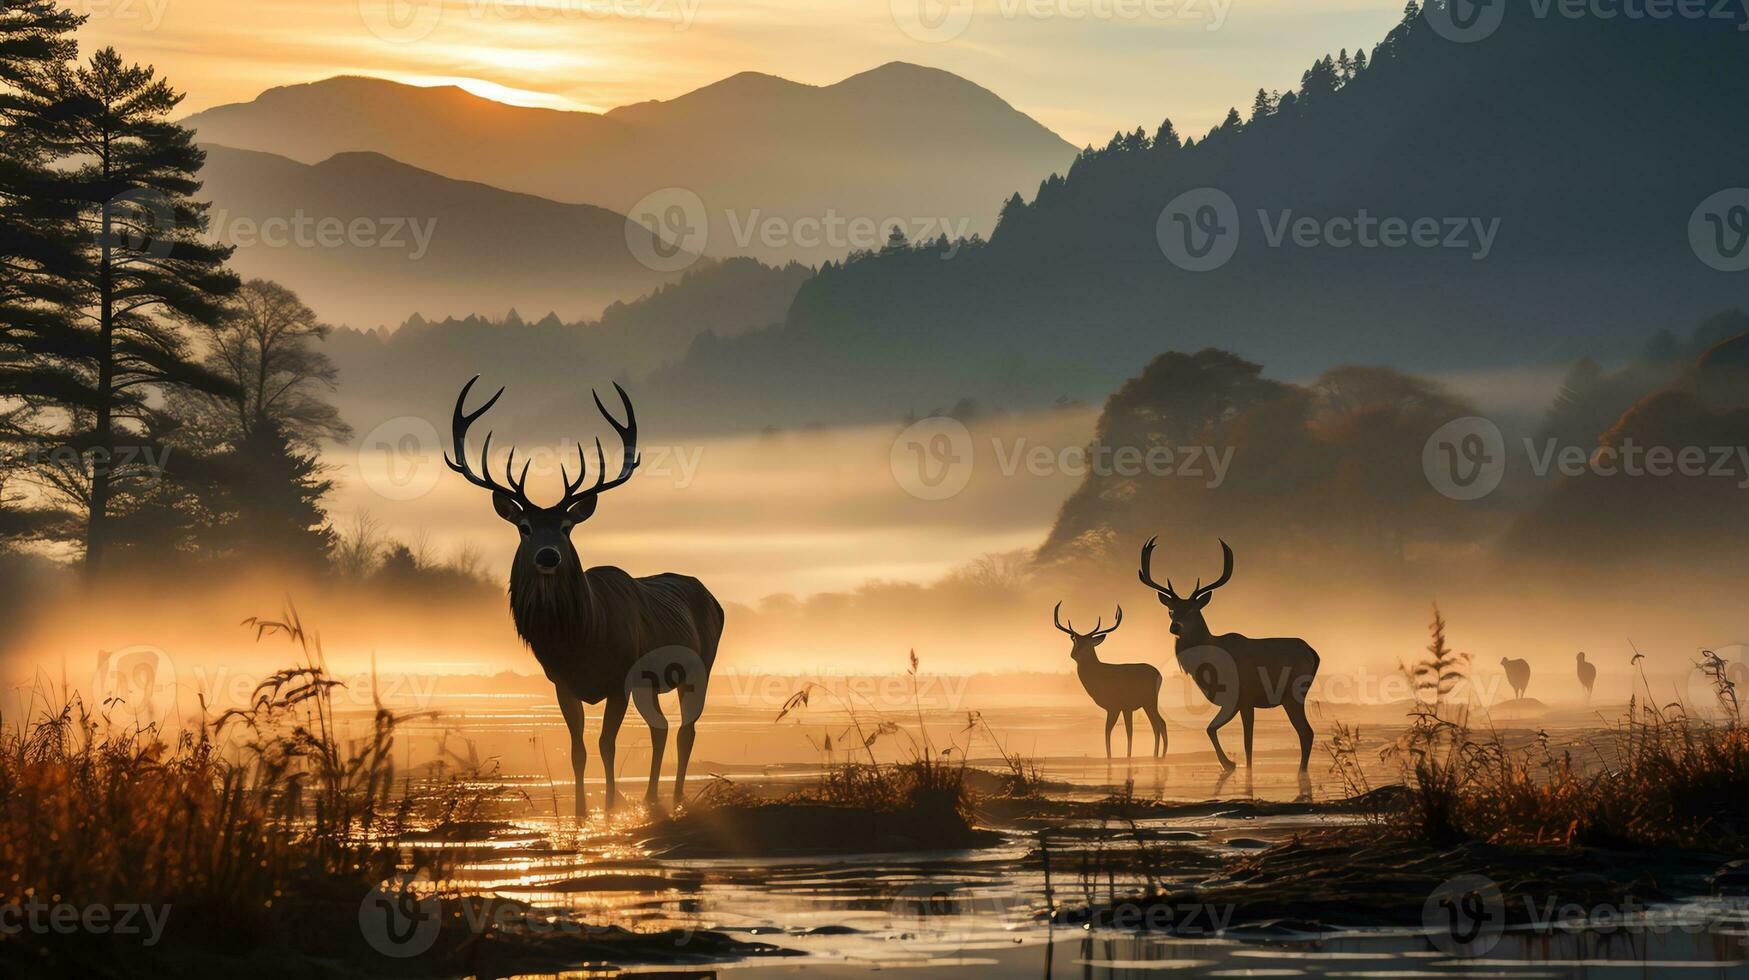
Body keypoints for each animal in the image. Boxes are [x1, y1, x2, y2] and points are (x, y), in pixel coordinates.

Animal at [1056, 605, 1168, 759]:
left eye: (1088, 643)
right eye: (1075, 641)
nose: (1074, 654)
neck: (1098, 678)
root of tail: (1160, 675)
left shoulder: (1114, 705)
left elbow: (1108, 732)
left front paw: (1110, 757)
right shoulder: (1126, 707)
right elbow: (1129, 732)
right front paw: (1128, 756)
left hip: (1150, 700)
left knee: (1160, 723)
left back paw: (1159, 755)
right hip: (1147, 702)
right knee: (1157, 724)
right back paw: (1158, 754)